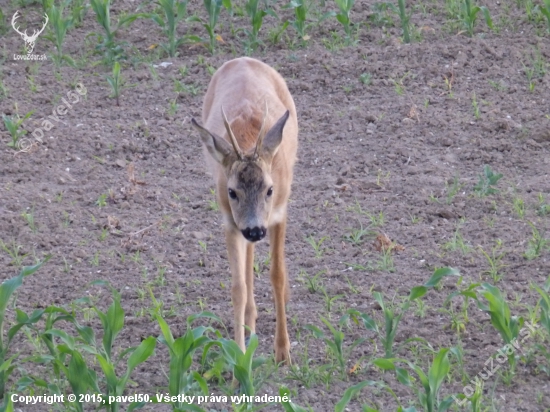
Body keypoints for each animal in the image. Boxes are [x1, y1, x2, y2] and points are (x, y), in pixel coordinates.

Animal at [193, 56, 300, 362]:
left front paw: (283, 352)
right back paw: (251, 320)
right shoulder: (230, 221)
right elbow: (237, 287)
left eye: (270, 189)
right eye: (232, 192)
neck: (249, 141)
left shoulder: (279, 212)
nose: (254, 229)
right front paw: (239, 357)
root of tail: (242, 59)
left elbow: (277, 275)